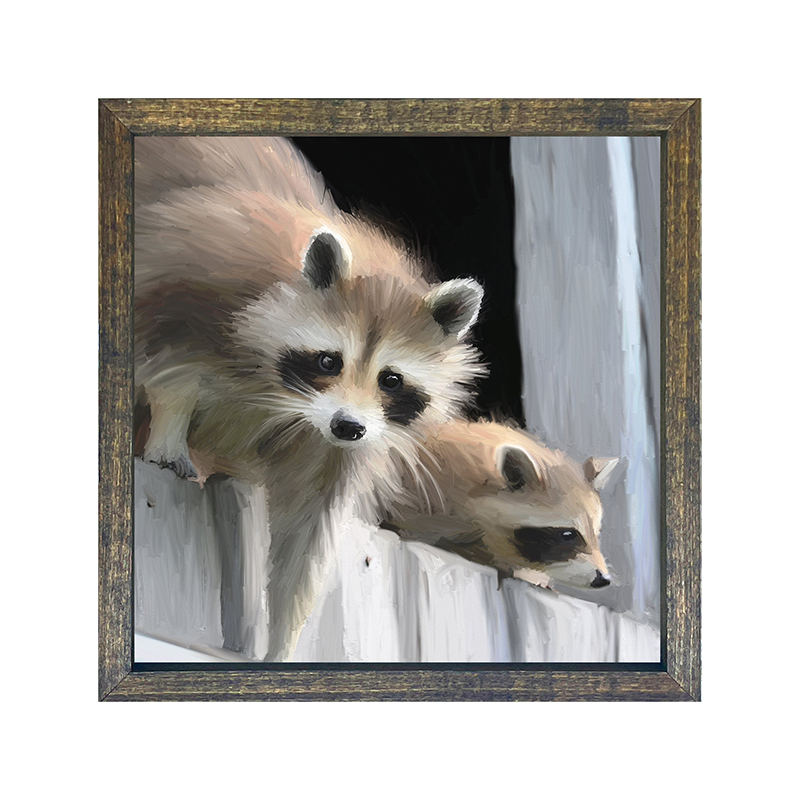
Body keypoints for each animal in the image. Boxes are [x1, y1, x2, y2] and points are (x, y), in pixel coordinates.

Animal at [134, 137, 485, 660]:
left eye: (391, 380)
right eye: (327, 361)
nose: (348, 425)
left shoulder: (333, 445)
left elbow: (306, 531)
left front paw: (283, 639)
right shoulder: (192, 279)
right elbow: (170, 365)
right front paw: (169, 427)